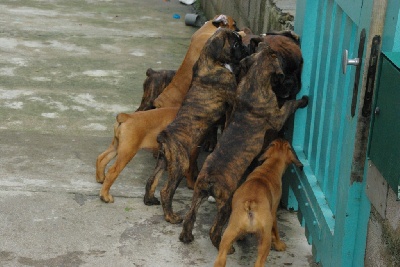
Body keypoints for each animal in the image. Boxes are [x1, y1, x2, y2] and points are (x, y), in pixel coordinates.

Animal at [144, 28, 248, 224]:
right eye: (236, 44)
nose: (246, 48)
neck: (210, 60)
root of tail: (165, 137)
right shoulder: (232, 97)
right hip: (181, 164)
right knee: (166, 191)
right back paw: (171, 217)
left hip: (163, 161)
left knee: (151, 180)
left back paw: (149, 199)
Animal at [180, 44, 308, 251]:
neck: (254, 80)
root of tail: (209, 179)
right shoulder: (278, 116)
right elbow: (290, 104)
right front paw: (303, 100)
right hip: (225, 204)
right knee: (214, 230)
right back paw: (225, 246)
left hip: (197, 194)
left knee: (189, 218)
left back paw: (187, 237)